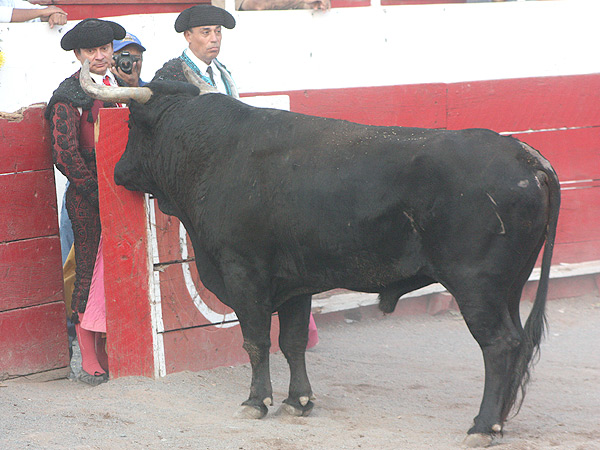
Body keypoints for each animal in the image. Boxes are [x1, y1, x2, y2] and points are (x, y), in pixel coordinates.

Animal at [105, 80, 560, 442]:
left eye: (129, 125)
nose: (117, 172)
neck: (211, 153)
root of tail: (525, 156)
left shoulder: (243, 272)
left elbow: (256, 340)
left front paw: (255, 402)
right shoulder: (294, 282)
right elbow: (292, 341)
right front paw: (298, 401)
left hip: (475, 285)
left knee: (499, 345)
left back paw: (482, 426)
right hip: (510, 286)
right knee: (519, 341)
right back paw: (500, 421)